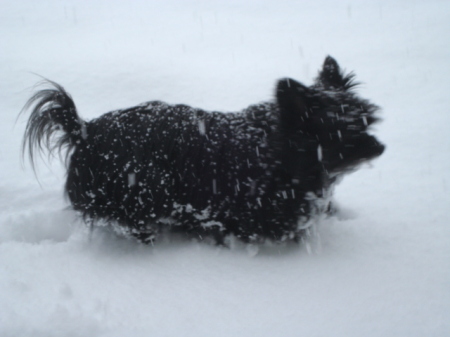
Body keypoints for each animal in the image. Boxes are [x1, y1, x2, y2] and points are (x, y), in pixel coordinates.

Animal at [21, 56, 384, 243]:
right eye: (346, 133)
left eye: (368, 121)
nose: (380, 146)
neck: (280, 149)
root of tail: (84, 131)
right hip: (147, 193)